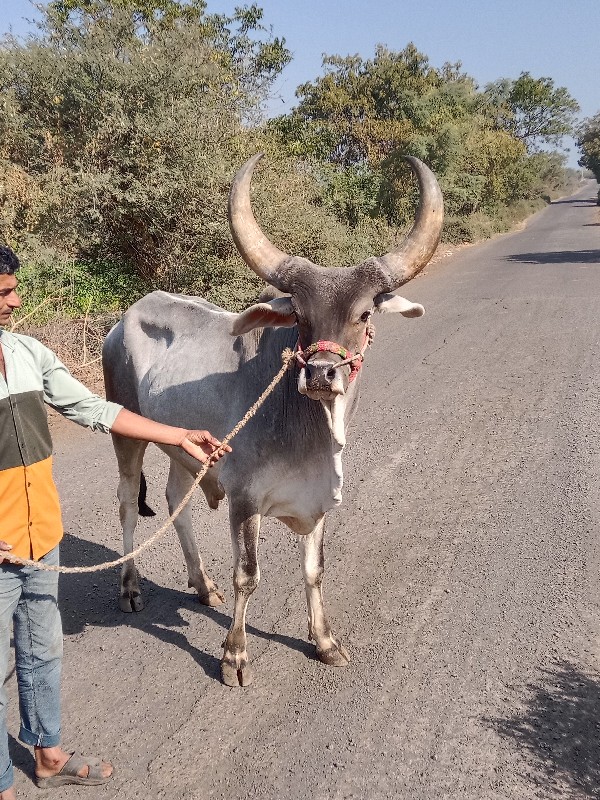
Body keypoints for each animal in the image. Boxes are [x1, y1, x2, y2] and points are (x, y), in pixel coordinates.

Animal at [102, 153, 440, 684]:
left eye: (365, 313)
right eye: (298, 315)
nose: (321, 373)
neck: (309, 433)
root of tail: (124, 319)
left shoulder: (318, 502)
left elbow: (314, 570)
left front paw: (325, 641)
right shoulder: (245, 500)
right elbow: (248, 576)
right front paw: (234, 656)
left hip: (185, 448)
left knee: (176, 499)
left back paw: (203, 584)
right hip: (126, 436)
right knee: (126, 505)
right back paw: (130, 586)